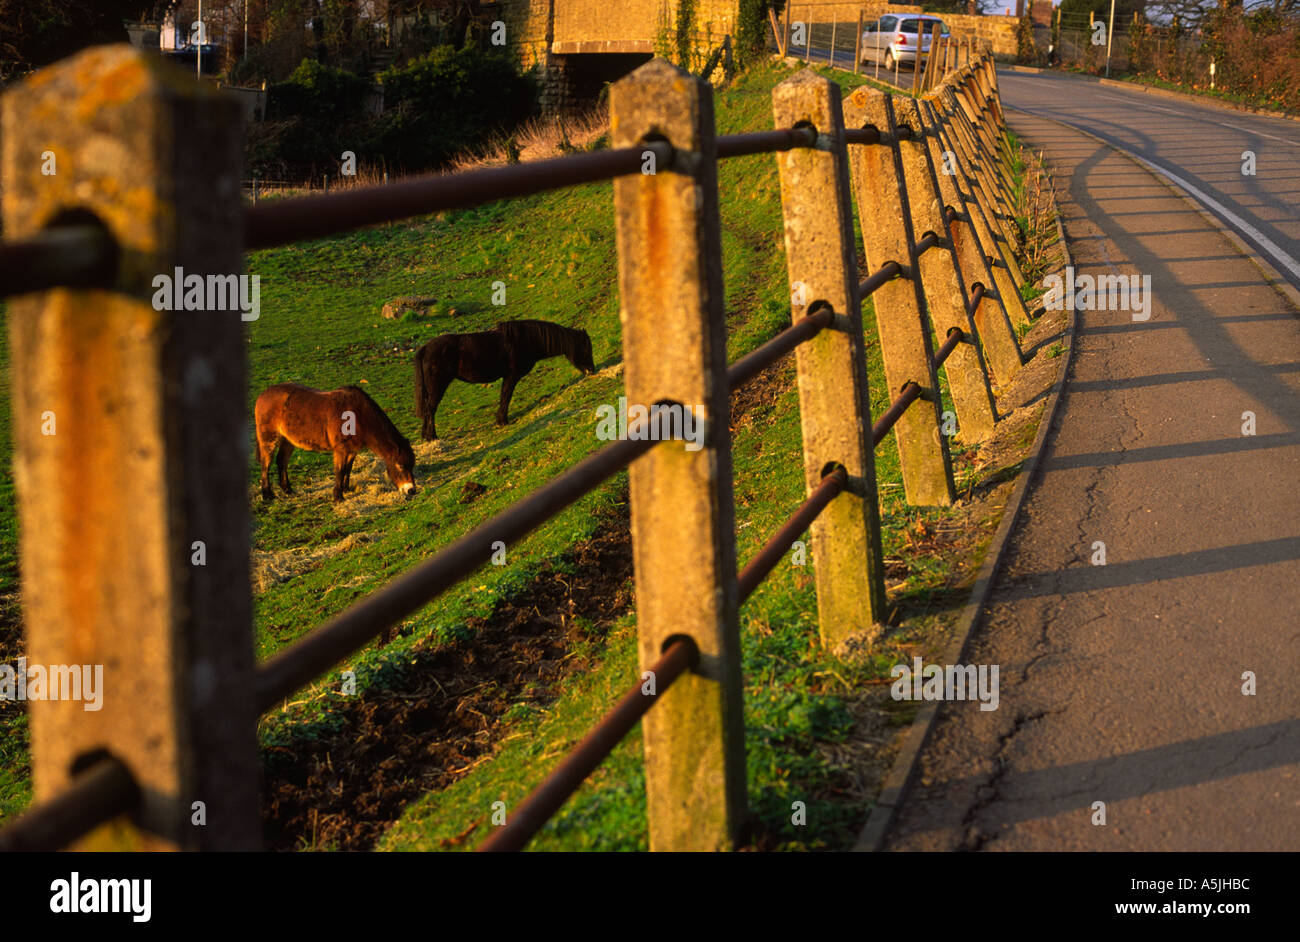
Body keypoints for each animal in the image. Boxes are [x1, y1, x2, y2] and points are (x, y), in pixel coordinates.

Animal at [253, 381, 416, 498]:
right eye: (400, 465)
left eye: (412, 465)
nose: (411, 491)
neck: (358, 416)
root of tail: (262, 395)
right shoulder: (341, 450)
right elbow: (339, 470)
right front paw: (338, 497)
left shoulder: (352, 450)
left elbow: (347, 469)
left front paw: (346, 489)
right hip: (269, 438)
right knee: (266, 463)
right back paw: (267, 495)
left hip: (288, 440)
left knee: (281, 461)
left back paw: (288, 490)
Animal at [413, 315, 595, 441]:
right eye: (586, 348)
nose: (592, 371)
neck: (527, 339)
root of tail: (425, 348)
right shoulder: (511, 376)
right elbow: (506, 396)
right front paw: (502, 420)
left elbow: (504, 396)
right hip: (437, 386)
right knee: (430, 409)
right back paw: (432, 436)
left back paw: (426, 436)